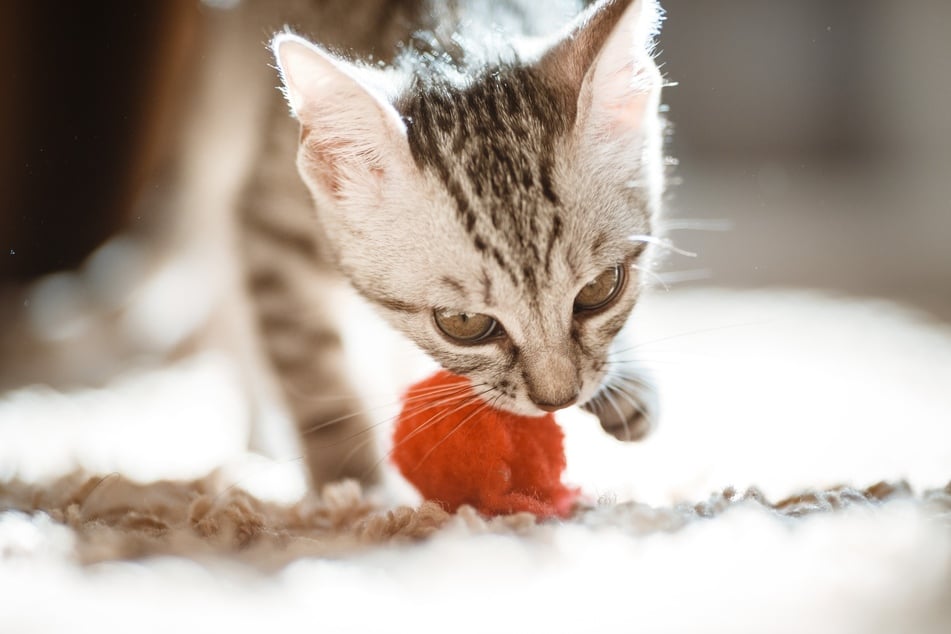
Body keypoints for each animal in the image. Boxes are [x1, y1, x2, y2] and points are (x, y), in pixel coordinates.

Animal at [242, 0, 664, 486]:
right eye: (463, 322)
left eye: (598, 289)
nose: (557, 400)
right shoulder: (273, 229)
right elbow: (313, 375)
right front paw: (352, 484)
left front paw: (628, 383)